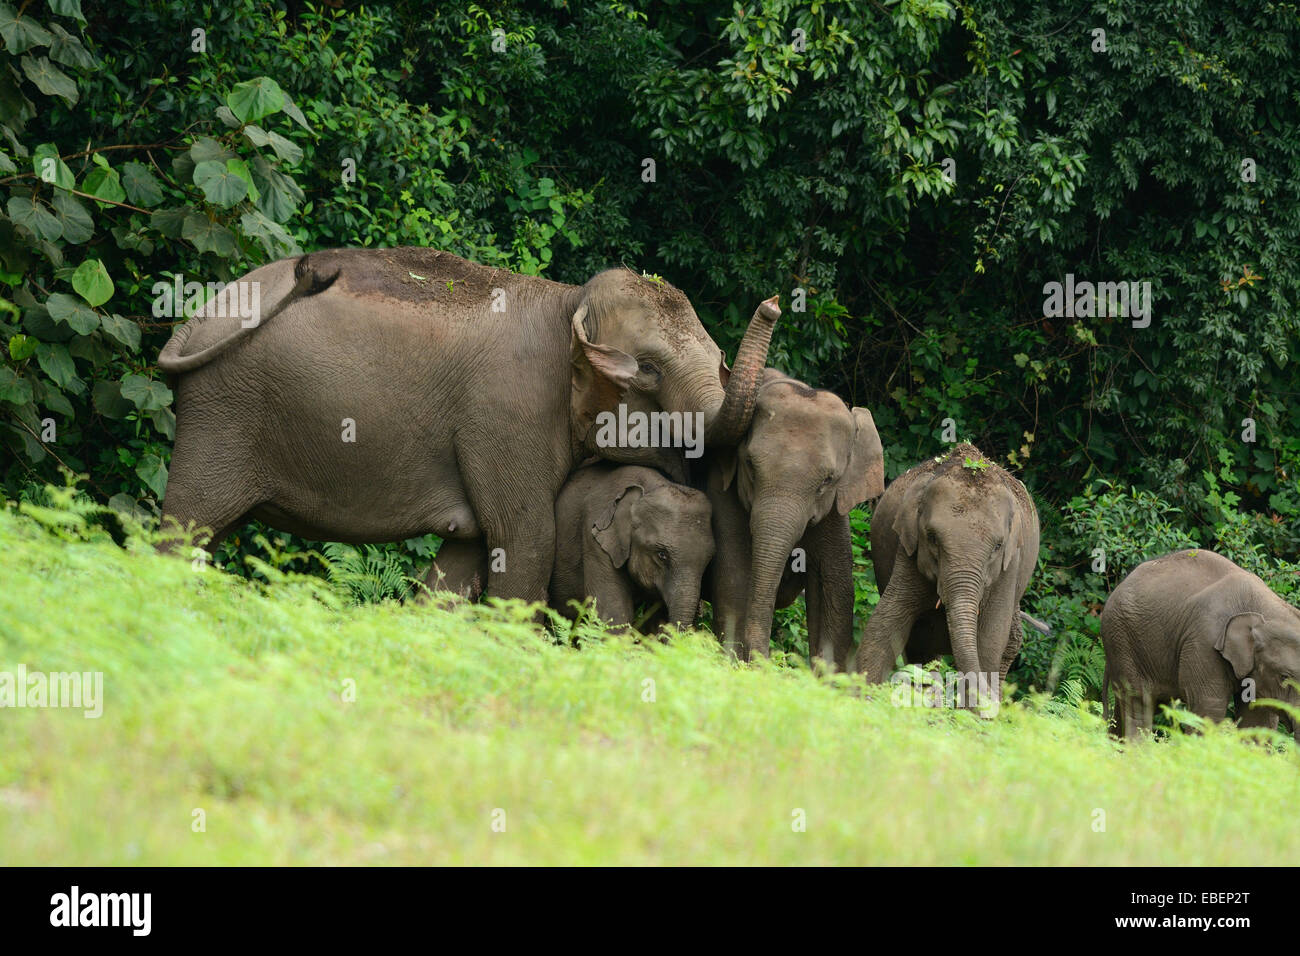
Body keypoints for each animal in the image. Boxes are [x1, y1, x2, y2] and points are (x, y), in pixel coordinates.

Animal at [157, 248, 777, 602]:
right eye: (648, 369)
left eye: (718, 358)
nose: (774, 301)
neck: (569, 301)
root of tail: (198, 317)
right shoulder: (508, 415)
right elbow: (527, 541)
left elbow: (471, 554)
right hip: (222, 412)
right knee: (186, 526)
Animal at [703, 369, 884, 667]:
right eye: (750, 465)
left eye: (827, 480)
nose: (763, 660)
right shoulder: (721, 487)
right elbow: (734, 579)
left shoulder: (833, 512)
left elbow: (835, 590)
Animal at [854, 443, 1040, 710]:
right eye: (932, 537)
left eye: (997, 546)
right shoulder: (908, 551)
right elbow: (885, 624)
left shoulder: (1009, 567)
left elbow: (989, 641)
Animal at [1101, 549, 1300, 739]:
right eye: (1284, 676)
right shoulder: (1204, 642)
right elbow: (1208, 708)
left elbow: (1258, 720)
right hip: (1122, 640)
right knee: (1138, 703)